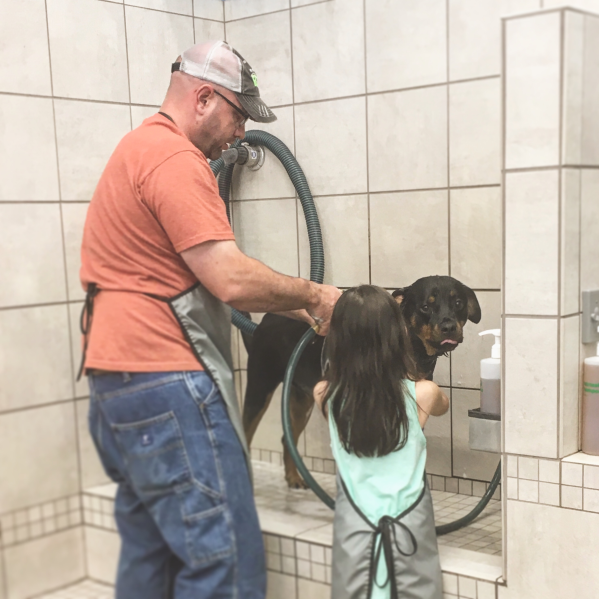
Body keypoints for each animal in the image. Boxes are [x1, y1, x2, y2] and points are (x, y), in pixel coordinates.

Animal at [241, 276, 481, 489]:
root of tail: (265, 320)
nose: (449, 327)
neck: (413, 347)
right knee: (246, 430)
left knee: (287, 438)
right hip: (259, 388)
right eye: (425, 307)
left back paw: (293, 477)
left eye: (458, 303)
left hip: (301, 401)